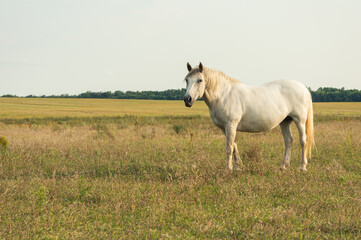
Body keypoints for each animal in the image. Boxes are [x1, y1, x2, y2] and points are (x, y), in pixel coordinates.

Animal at [183, 62, 312, 171]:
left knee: (303, 140)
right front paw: (237, 166)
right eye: (186, 80)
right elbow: (234, 145)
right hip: (285, 121)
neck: (223, 95)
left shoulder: (231, 124)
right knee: (288, 140)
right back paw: (283, 166)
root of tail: (303, 87)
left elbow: (229, 147)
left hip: (299, 120)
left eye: (200, 80)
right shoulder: (224, 127)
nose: (187, 99)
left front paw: (228, 169)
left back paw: (302, 167)